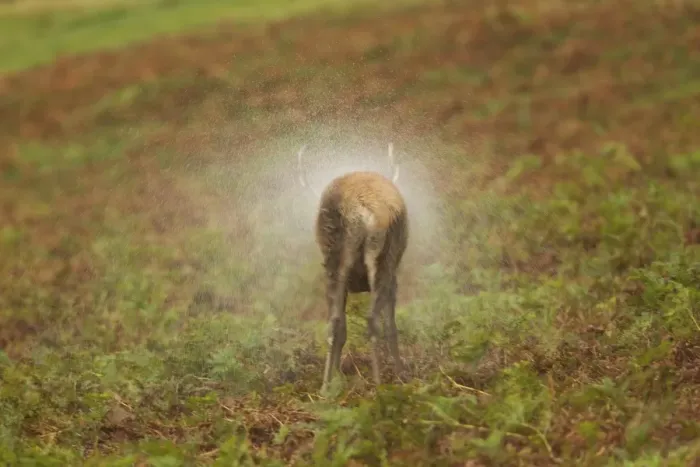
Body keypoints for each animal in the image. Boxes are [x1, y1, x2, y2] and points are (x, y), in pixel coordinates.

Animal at [297, 143, 408, 393]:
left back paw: (327, 387)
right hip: (381, 259)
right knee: (370, 319)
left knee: (336, 323)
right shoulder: (394, 280)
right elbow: (392, 325)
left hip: (336, 260)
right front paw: (400, 374)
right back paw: (378, 384)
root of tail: (366, 212)